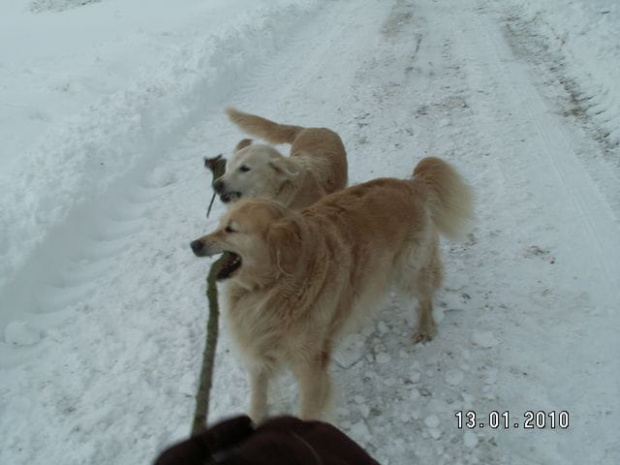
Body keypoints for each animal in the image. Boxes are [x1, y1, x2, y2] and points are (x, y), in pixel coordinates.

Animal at [191, 158, 472, 422]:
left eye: (231, 229)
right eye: (219, 225)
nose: (194, 244)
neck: (271, 286)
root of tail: (409, 184)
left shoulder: (310, 364)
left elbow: (307, 410)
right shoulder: (260, 356)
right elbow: (258, 401)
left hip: (410, 268)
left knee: (425, 296)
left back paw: (424, 328)